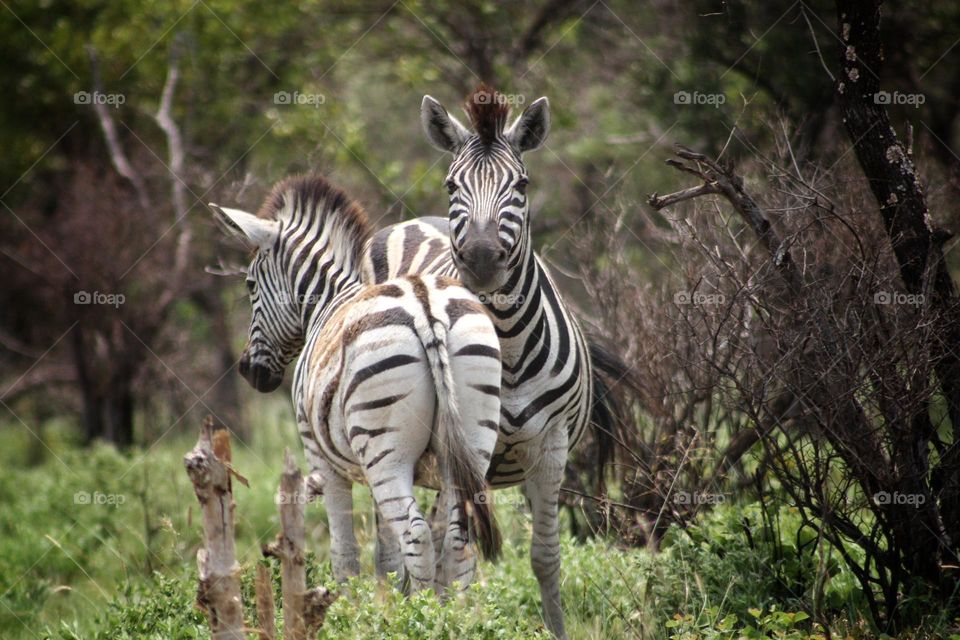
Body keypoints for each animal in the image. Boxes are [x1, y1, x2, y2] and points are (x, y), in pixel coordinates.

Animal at [210, 174, 504, 592]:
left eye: (250, 285)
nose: (250, 372)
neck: (327, 300)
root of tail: (425, 306)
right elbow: (386, 556)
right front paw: (389, 601)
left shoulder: (319, 454)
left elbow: (344, 554)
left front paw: (351, 604)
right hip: (473, 433)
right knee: (457, 536)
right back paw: (455, 609)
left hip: (384, 450)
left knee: (416, 533)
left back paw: (426, 607)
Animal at [362, 84, 602, 639]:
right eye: (452, 184)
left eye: (522, 184)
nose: (482, 257)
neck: (508, 347)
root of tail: (417, 221)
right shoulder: (472, 457)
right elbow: (459, 553)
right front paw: (452, 619)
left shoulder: (552, 449)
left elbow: (544, 557)